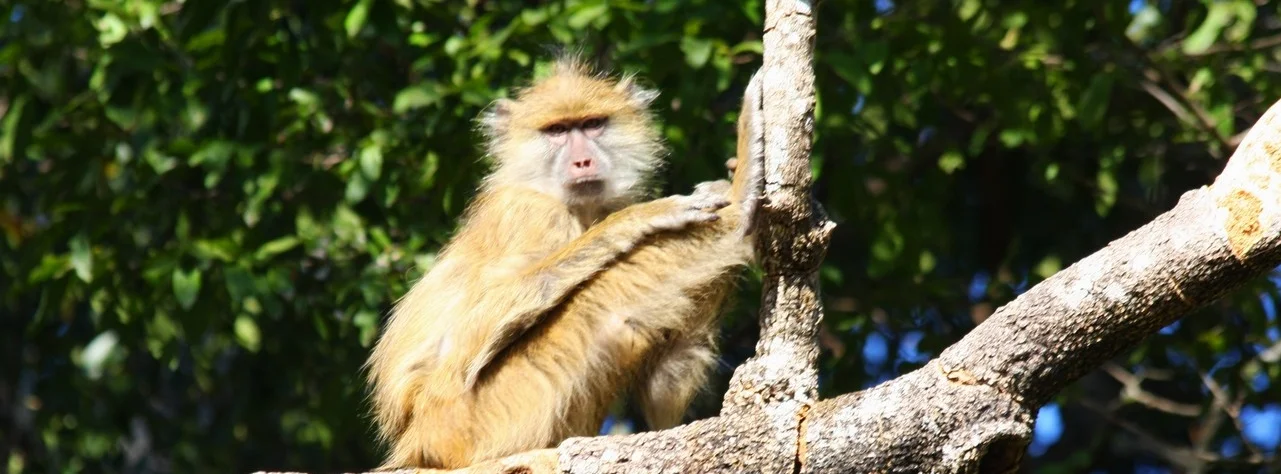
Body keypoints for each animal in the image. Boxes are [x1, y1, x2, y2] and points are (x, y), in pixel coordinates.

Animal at [365, 56, 765, 470]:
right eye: (557, 131)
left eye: (592, 124)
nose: (583, 160)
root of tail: (418, 446)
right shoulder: (534, 215)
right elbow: (463, 344)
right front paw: (641, 217)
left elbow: (662, 399)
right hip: (468, 422)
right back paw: (741, 201)